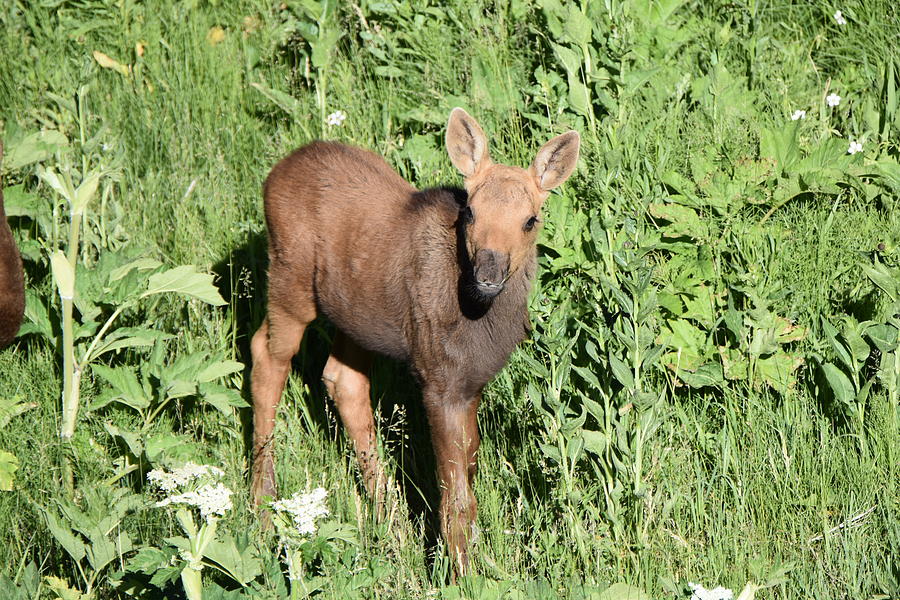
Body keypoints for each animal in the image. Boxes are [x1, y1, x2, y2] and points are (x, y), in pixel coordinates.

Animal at [250, 108, 580, 572]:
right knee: (267, 357)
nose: (488, 274)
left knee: (342, 380)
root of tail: (275, 173)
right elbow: (456, 497)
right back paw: (263, 506)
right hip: (290, 280)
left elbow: (469, 470)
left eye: (530, 220)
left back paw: (390, 523)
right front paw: (461, 572)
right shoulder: (438, 380)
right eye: (471, 212)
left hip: (355, 314)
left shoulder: (470, 383)